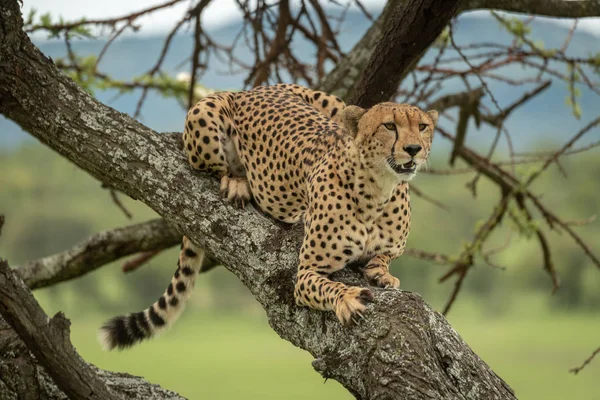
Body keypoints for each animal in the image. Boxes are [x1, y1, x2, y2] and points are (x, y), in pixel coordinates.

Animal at [97, 85, 436, 350]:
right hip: (204, 114)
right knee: (212, 168)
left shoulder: (390, 245)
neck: (379, 189)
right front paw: (349, 298)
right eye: (390, 126)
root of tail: (256, 89)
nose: (413, 149)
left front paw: (381, 272)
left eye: (422, 127)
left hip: (333, 104)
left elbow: (385, 256)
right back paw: (237, 182)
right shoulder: (306, 273)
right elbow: (327, 286)